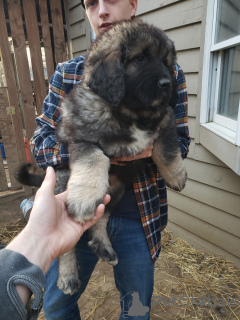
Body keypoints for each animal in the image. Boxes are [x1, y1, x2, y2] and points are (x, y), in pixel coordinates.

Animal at [15, 18, 188, 296]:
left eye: (166, 62)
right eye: (140, 59)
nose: (168, 85)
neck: (131, 112)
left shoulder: (167, 118)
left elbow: (167, 146)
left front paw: (176, 175)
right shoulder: (80, 138)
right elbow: (95, 158)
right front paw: (84, 196)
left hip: (115, 192)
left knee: (101, 218)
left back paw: (103, 246)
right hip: (63, 185)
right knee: (66, 246)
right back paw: (68, 275)